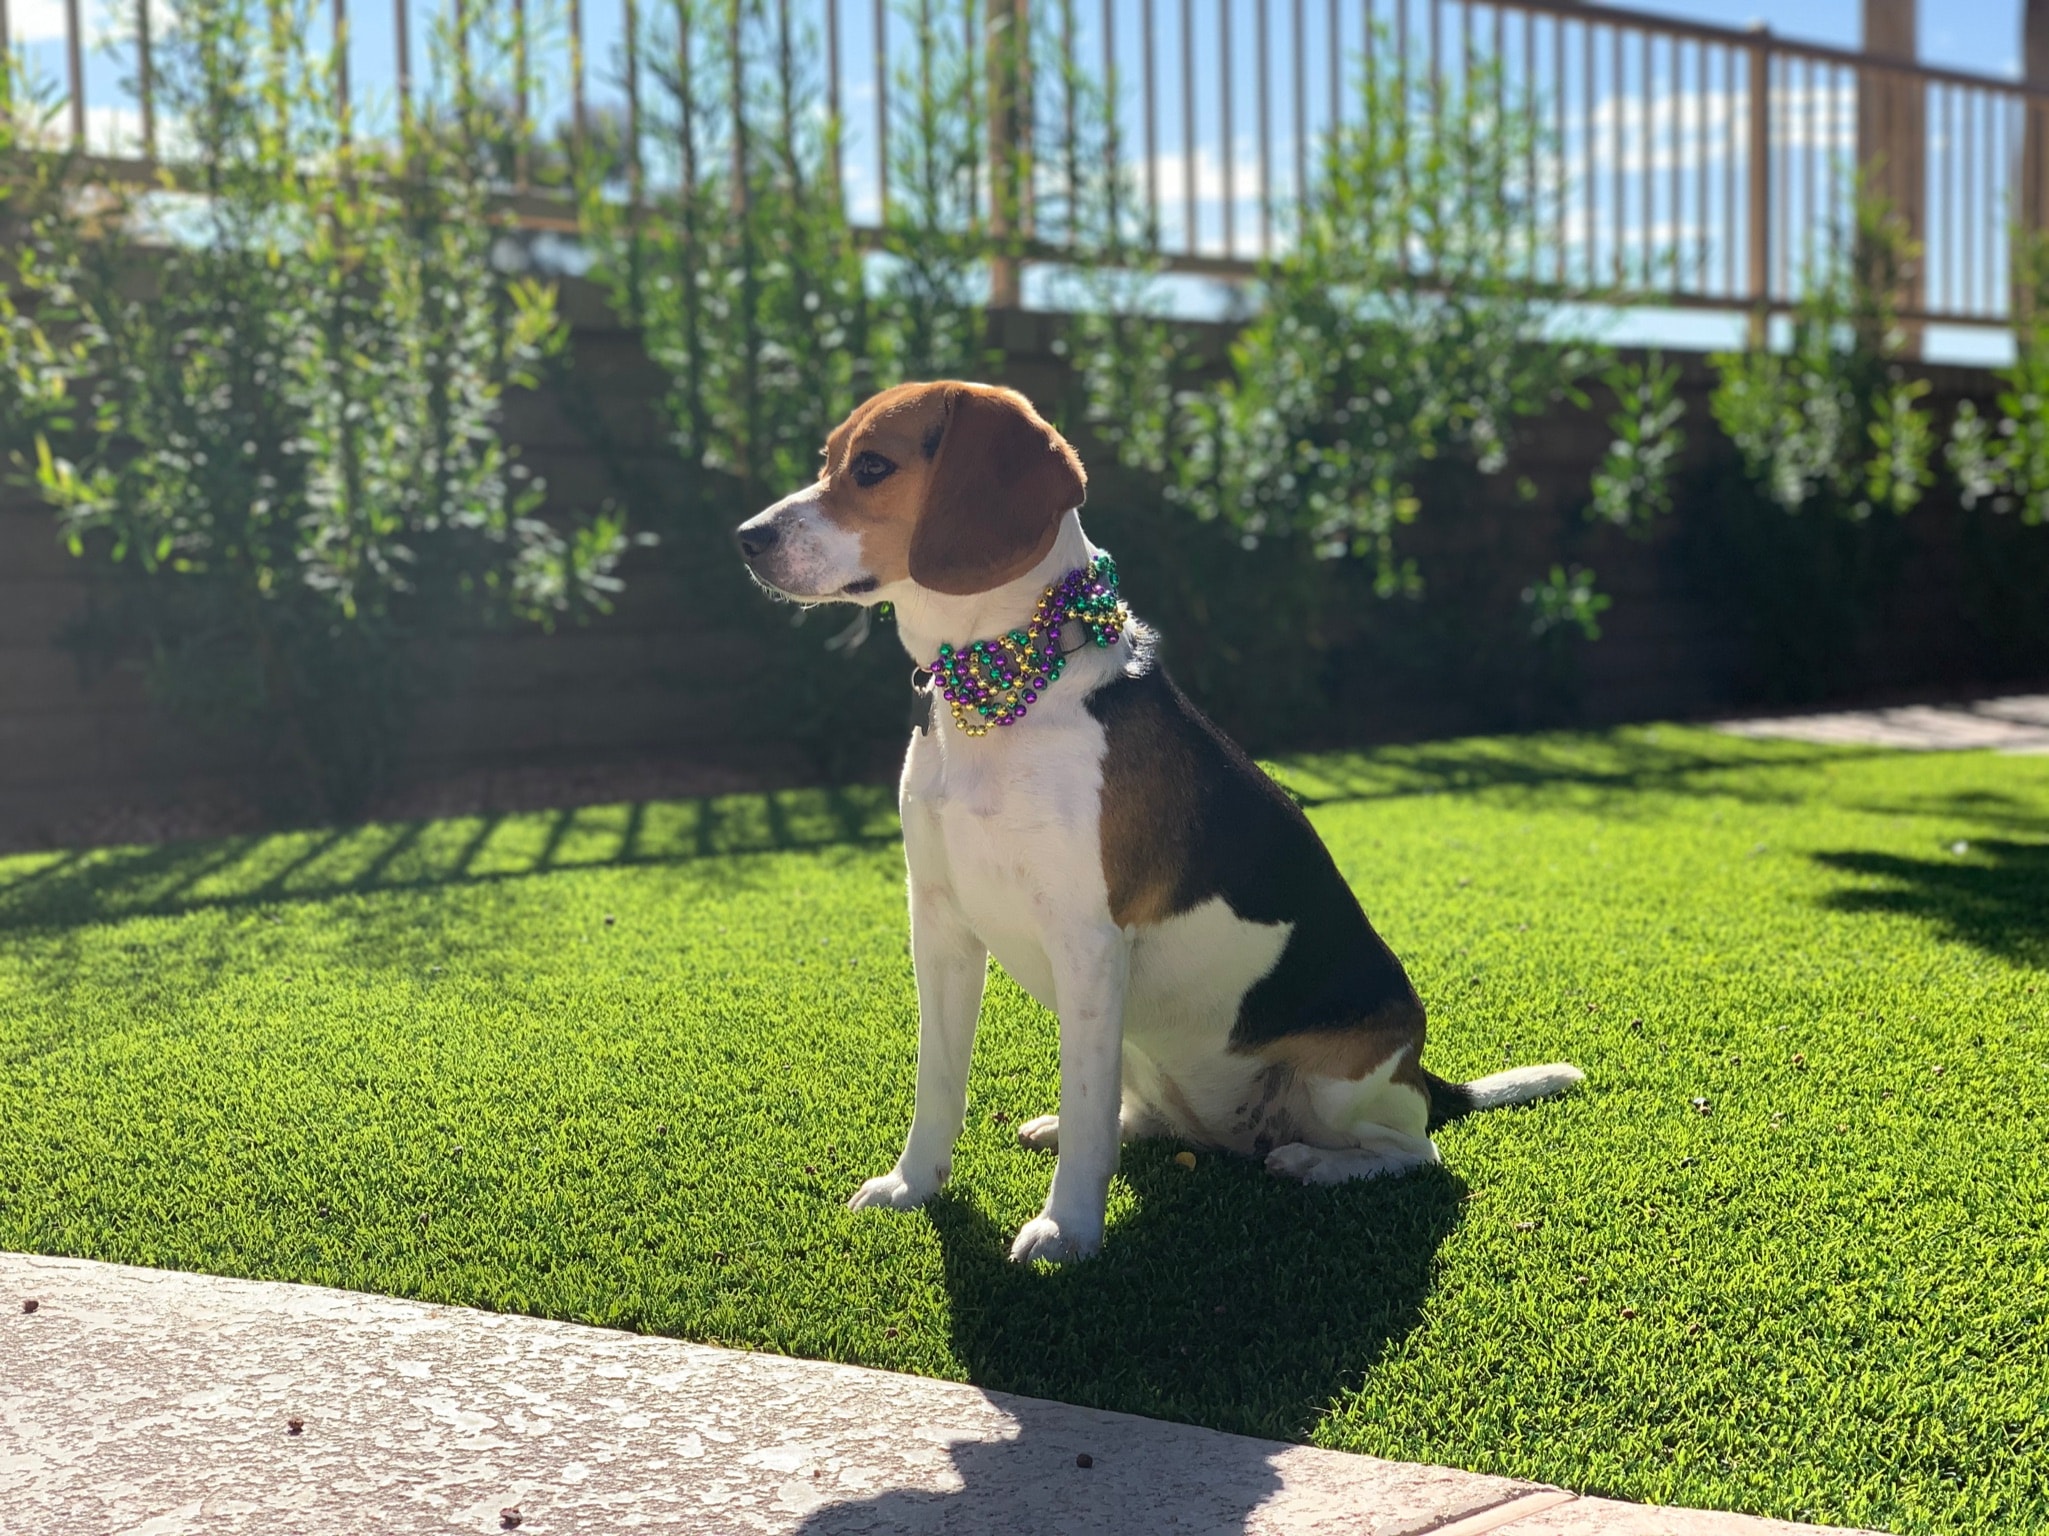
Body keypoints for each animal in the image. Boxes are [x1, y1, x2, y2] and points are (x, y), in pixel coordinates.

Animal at [737, 382, 1581, 1261]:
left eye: (872, 467)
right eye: (828, 459)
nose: (745, 540)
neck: (1000, 697)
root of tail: (1420, 1072)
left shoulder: (1085, 944)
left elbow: (1083, 1116)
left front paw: (1066, 1230)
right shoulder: (937, 926)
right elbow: (938, 1082)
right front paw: (912, 1185)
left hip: (1336, 1081)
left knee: (1412, 1151)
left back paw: (1316, 1163)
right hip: (1139, 1046)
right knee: (1138, 1114)